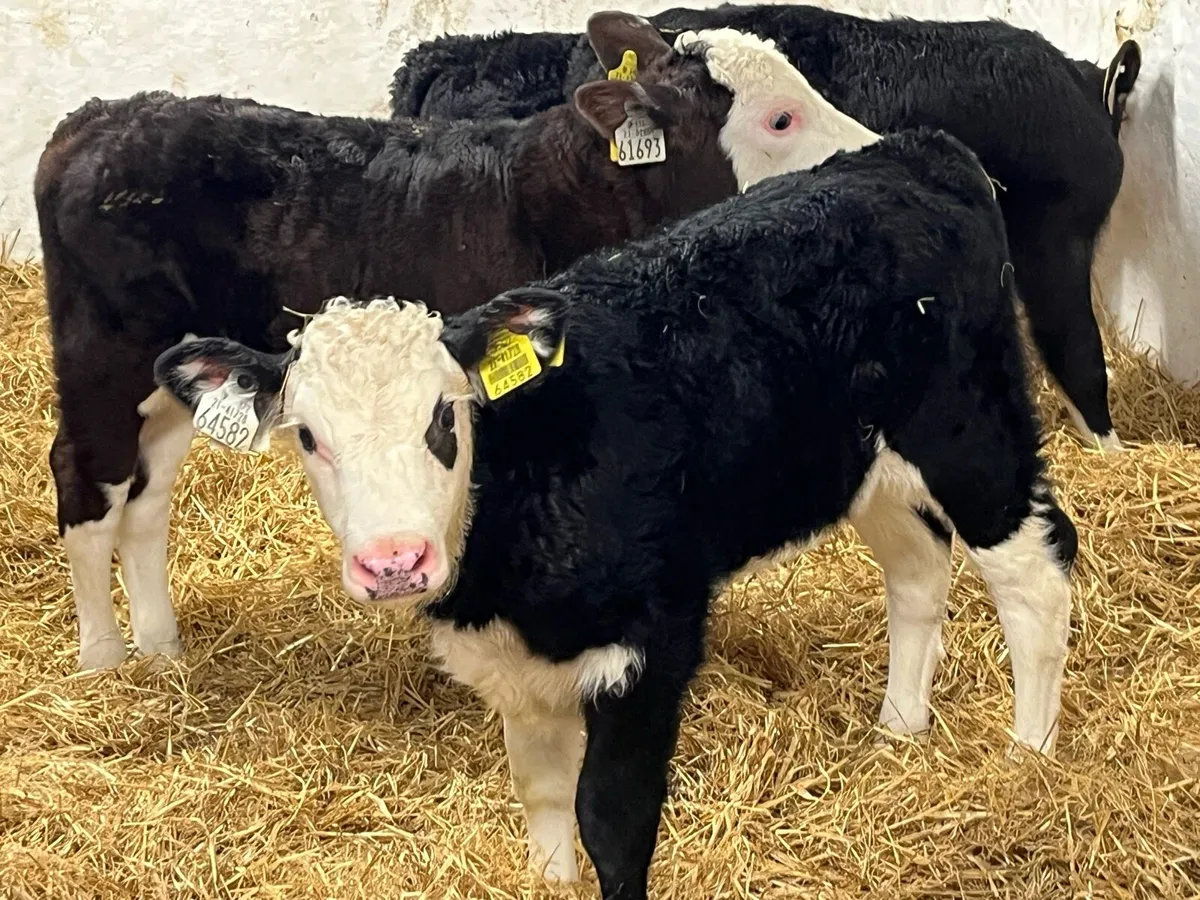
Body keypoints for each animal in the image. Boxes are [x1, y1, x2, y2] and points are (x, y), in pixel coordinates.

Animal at [35, 15, 878, 671]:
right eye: (779, 118)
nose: (877, 153)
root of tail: (97, 118)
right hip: (102, 358)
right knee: (86, 477)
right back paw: (104, 662)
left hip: (168, 380)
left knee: (146, 498)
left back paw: (161, 651)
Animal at [155, 127, 1078, 899]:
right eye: (308, 437)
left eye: (444, 417)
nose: (393, 562)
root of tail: (910, 152)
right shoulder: (517, 668)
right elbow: (541, 792)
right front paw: (548, 880)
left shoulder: (652, 640)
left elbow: (613, 817)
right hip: (861, 461)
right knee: (918, 570)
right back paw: (898, 730)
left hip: (969, 430)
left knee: (1033, 572)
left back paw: (1028, 758)